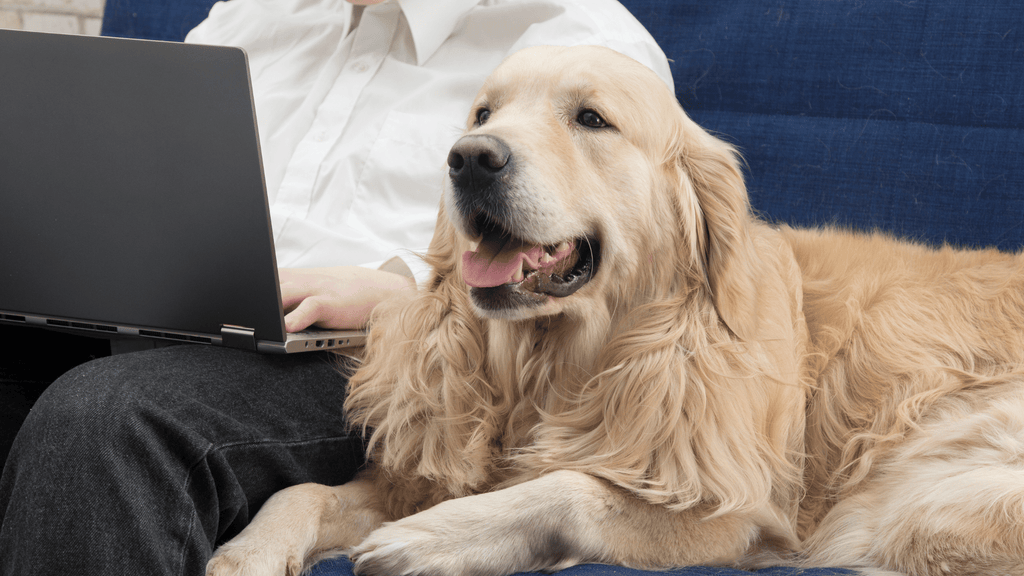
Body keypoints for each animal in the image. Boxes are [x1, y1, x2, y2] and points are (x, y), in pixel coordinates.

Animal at [203, 44, 1024, 573]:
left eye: (591, 119)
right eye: (482, 111)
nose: (470, 157)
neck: (556, 367)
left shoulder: (738, 518)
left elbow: (575, 486)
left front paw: (434, 537)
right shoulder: (416, 471)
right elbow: (303, 493)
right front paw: (249, 553)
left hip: (914, 505)